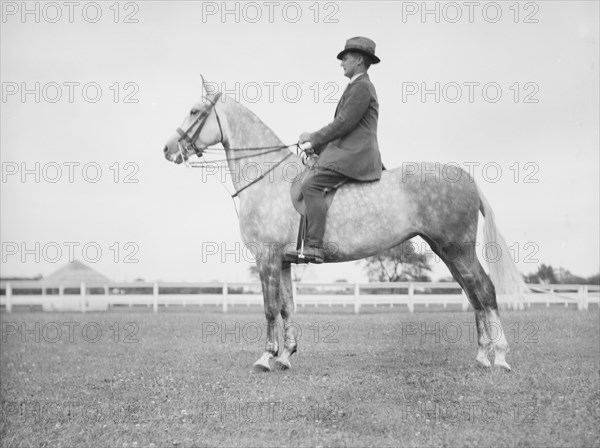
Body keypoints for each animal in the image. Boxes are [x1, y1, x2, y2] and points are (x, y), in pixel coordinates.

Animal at [163, 82, 524, 372]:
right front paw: (286, 356)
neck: (268, 177)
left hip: (457, 249)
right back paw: (482, 355)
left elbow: (269, 309)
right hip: (447, 251)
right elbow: (287, 308)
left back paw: (500, 356)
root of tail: (467, 179)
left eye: (195, 111)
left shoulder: (267, 258)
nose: (167, 149)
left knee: (485, 291)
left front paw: (266, 357)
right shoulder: (284, 262)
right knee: (473, 294)